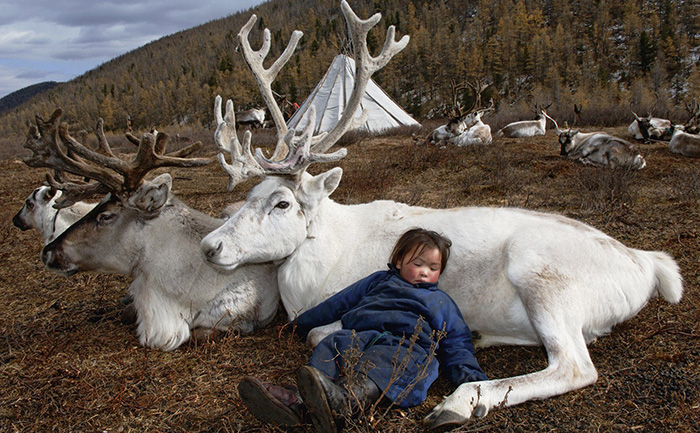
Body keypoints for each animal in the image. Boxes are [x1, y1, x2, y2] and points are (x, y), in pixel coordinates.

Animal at [200, 1, 682, 429]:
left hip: (542, 277)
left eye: (282, 202)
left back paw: (461, 402)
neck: (319, 262)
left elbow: (321, 333)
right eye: (248, 195)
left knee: (574, 366)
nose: (209, 245)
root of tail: (647, 264)